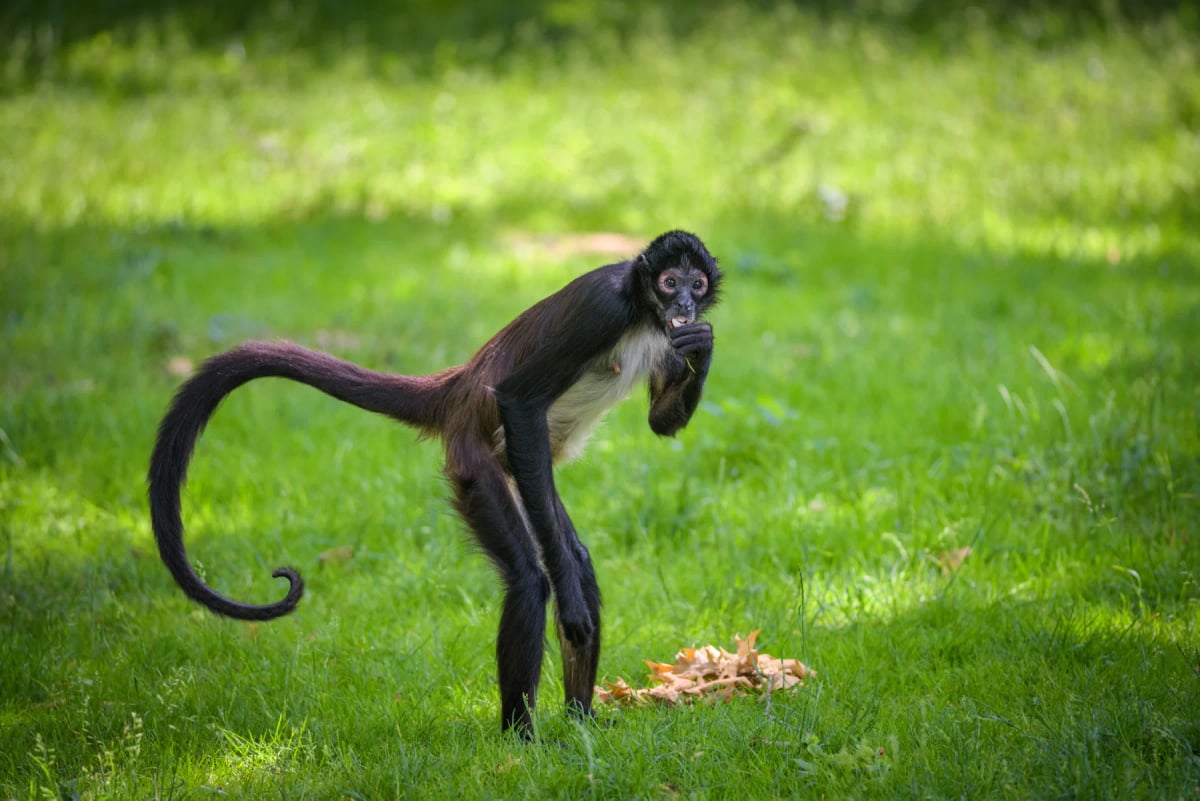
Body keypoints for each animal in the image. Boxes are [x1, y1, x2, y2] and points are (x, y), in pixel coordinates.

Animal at [148, 230, 721, 738]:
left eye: (696, 284)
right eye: (669, 281)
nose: (685, 303)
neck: (644, 312)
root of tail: (461, 386)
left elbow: (661, 423)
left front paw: (703, 345)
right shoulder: (602, 309)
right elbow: (520, 400)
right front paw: (570, 607)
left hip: (519, 467)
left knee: (575, 558)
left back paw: (581, 722)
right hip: (478, 461)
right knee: (529, 578)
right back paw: (521, 740)